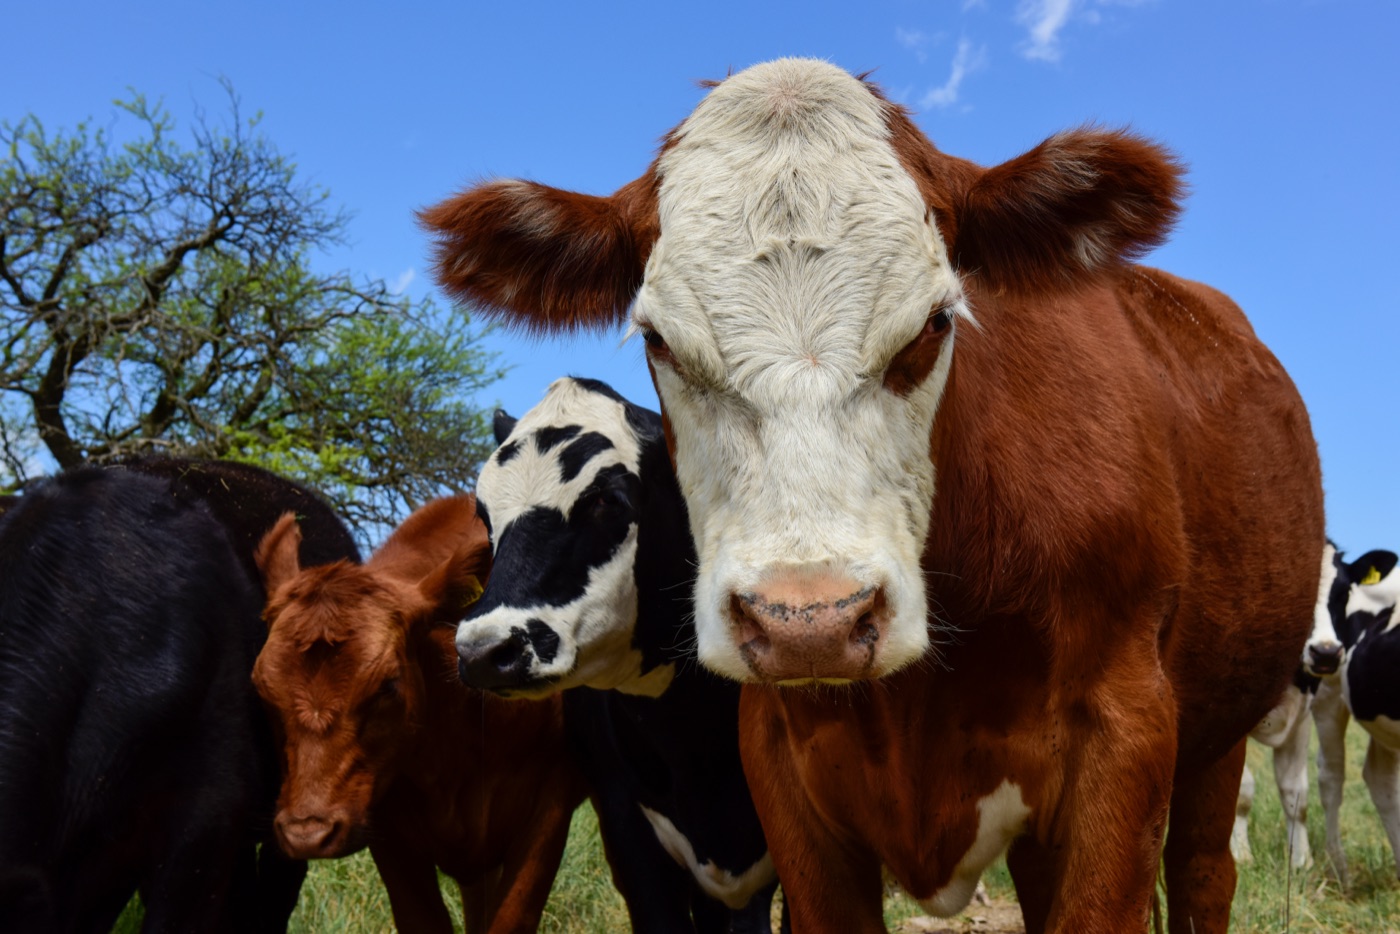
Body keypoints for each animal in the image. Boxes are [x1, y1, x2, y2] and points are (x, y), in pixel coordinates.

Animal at [1311, 545, 1400, 885]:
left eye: (1343, 591)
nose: (1324, 651)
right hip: (1327, 694)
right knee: (1331, 776)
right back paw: (1340, 871)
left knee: (1380, 779)